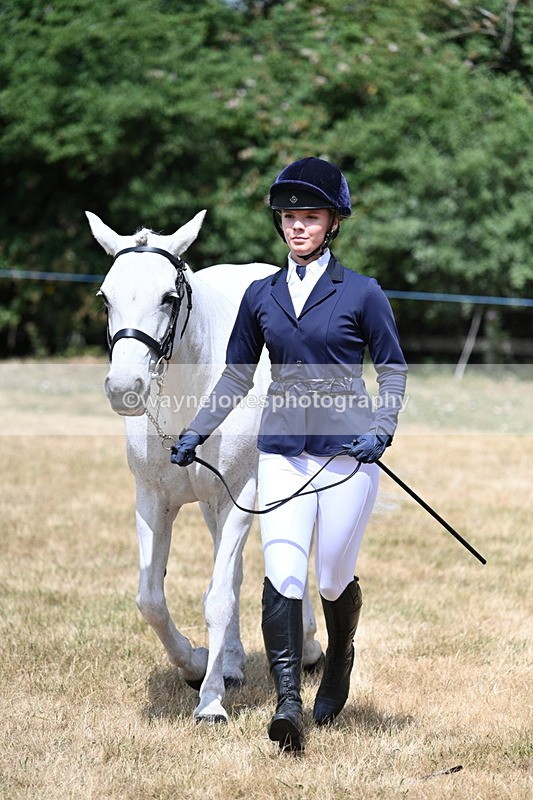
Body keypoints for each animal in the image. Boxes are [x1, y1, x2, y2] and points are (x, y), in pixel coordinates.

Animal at [86, 210, 323, 722]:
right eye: (105, 297)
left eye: (169, 297)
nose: (124, 387)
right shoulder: (154, 500)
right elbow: (152, 599)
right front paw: (197, 663)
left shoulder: (241, 495)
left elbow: (217, 597)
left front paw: (211, 701)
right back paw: (230, 661)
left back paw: (311, 646)